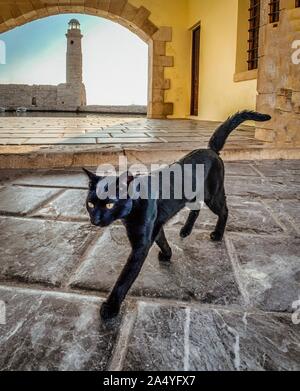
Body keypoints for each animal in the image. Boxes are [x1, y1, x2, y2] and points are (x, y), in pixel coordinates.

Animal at [83, 111, 270, 322]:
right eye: (90, 204)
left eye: (109, 204)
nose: (95, 220)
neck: (135, 205)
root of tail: (210, 150)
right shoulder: (156, 226)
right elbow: (162, 240)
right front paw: (167, 254)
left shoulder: (141, 244)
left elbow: (125, 277)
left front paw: (111, 307)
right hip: (195, 197)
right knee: (196, 210)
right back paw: (186, 230)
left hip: (213, 196)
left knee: (225, 210)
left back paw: (217, 234)